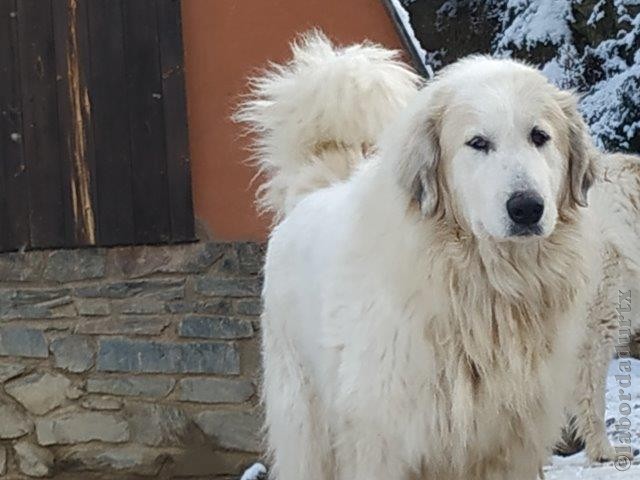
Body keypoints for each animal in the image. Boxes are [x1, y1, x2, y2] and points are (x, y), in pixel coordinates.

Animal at [239, 31, 600, 478]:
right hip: (307, 427)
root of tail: (314, 192)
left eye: (539, 136)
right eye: (478, 143)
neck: (485, 287)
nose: (527, 208)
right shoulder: (387, 443)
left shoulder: (508, 447)